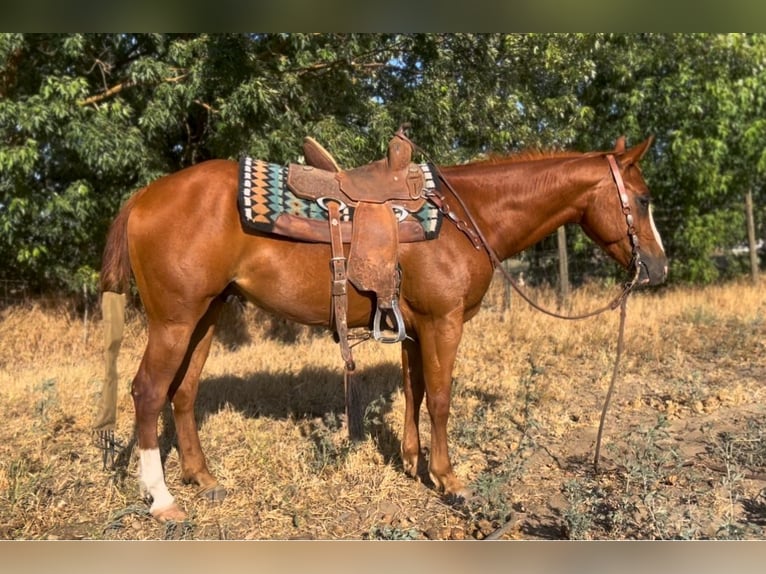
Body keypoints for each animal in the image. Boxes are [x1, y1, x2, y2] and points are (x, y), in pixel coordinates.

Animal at [99, 135, 667, 522]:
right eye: (642, 200)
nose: (658, 269)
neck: (468, 217)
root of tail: (143, 197)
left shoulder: (415, 326)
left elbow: (415, 392)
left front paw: (414, 463)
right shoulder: (444, 323)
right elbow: (440, 398)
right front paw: (449, 479)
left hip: (208, 314)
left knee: (184, 392)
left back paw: (203, 477)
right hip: (174, 320)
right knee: (148, 391)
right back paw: (163, 499)